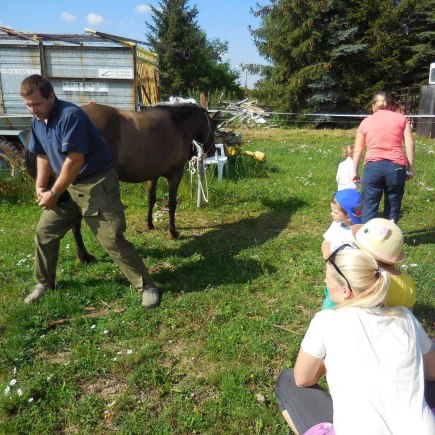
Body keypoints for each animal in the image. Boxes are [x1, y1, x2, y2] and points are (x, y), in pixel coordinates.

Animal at [24, 103, 218, 262]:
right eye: (214, 128)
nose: (212, 150)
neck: (178, 123)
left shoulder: (152, 175)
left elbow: (151, 199)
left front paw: (149, 224)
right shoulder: (175, 175)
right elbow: (171, 204)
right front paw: (173, 232)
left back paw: (83, 255)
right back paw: (84, 256)